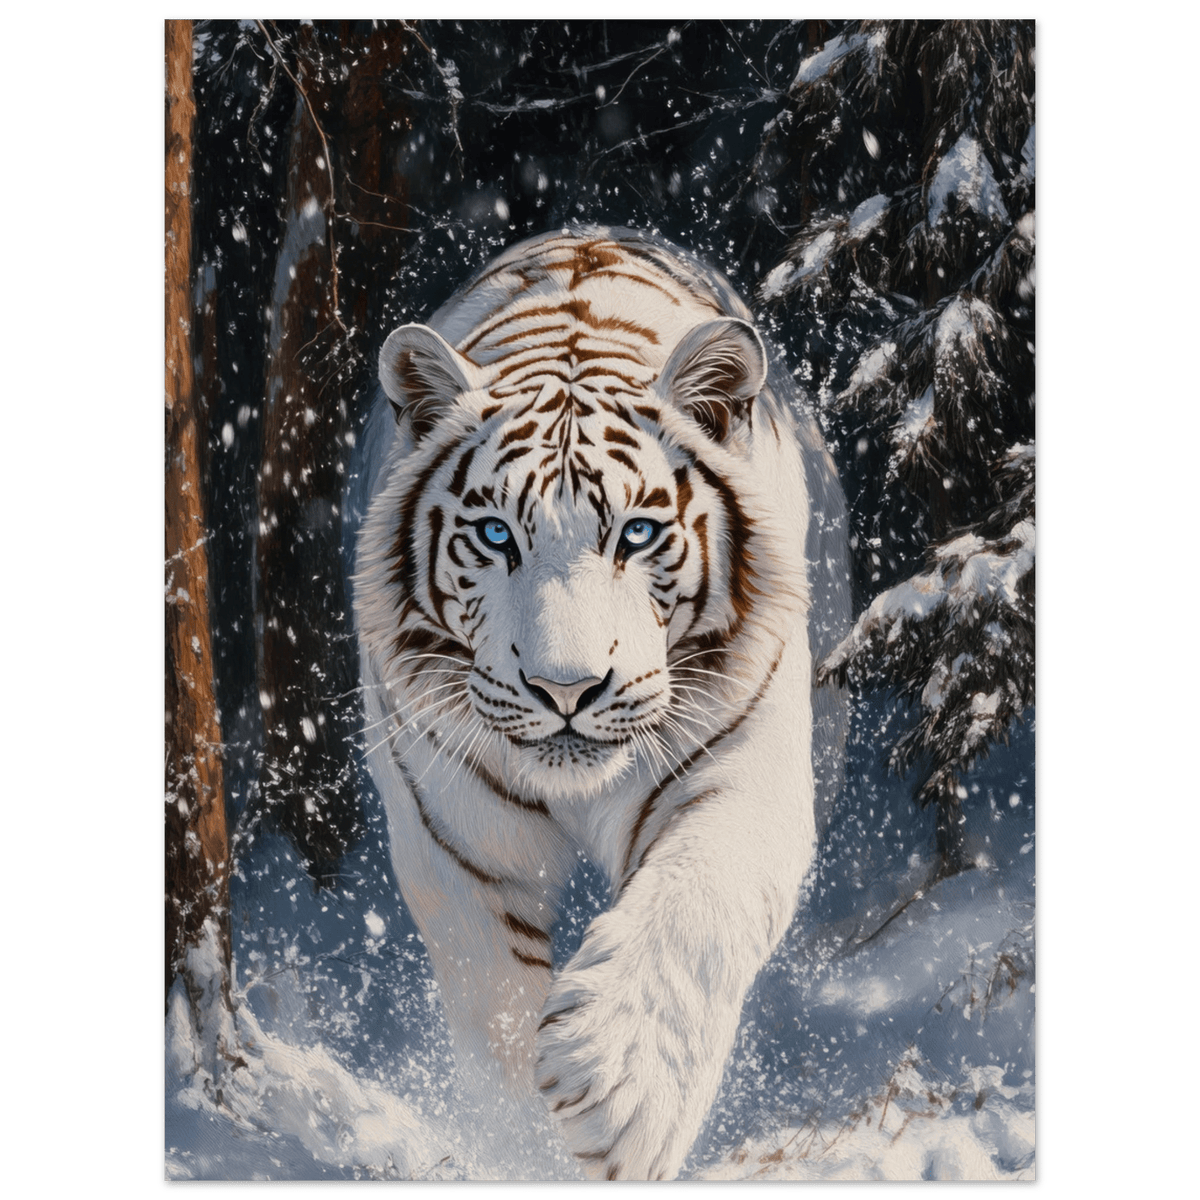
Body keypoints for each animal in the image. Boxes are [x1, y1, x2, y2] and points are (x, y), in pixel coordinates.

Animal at [352, 227, 850, 1180]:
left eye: (639, 533)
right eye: (496, 535)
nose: (566, 688)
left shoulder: (746, 774)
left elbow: (698, 907)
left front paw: (619, 1090)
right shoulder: (454, 835)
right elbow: (493, 1004)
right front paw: (526, 1147)